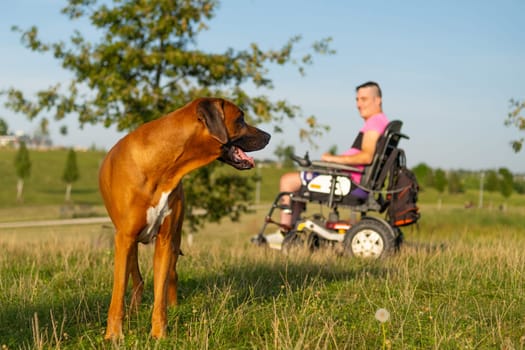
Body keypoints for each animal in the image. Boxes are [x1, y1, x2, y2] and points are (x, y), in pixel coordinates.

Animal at [99, 97, 270, 338]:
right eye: (240, 119)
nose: (268, 136)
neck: (163, 163)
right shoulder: (124, 238)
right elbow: (118, 291)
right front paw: (114, 335)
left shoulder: (164, 240)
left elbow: (160, 292)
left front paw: (159, 334)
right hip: (128, 241)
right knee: (137, 279)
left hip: (175, 237)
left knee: (171, 274)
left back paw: (172, 306)